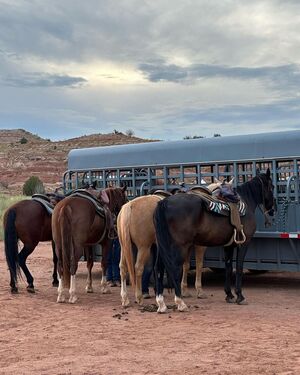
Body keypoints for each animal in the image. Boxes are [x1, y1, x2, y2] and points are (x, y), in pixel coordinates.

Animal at [154, 170, 276, 314]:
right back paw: (180, 302)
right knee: (175, 268)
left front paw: (229, 295)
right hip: (179, 246)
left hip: (163, 245)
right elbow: (239, 267)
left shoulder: (229, 245)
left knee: (159, 268)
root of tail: (164, 202)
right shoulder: (243, 244)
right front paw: (240, 296)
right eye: (272, 187)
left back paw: (161, 303)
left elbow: (228, 267)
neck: (246, 203)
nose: (273, 209)